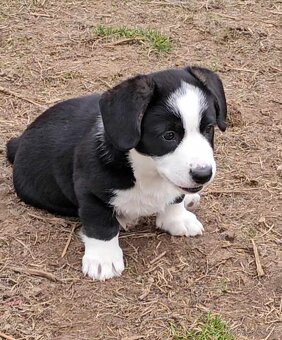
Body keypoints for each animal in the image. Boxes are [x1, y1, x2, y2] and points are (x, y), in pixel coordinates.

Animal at [6, 65, 227, 280]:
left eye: (208, 128)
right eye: (169, 135)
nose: (203, 174)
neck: (144, 169)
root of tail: (18, 142)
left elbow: (175, 198)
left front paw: (177, 219)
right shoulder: (90, 192)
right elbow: (101, 225)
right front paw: (103, 260)